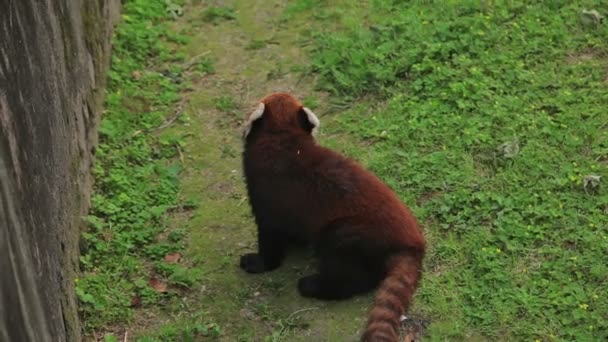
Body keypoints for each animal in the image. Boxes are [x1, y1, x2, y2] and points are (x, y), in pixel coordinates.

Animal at [240, 92, 426, 340]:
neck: (282, 138)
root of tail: (413, 243)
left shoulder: (267, 194)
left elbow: (271, 237)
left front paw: (258, 262)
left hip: (349, 233)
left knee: (347, 271)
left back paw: (313, 286)